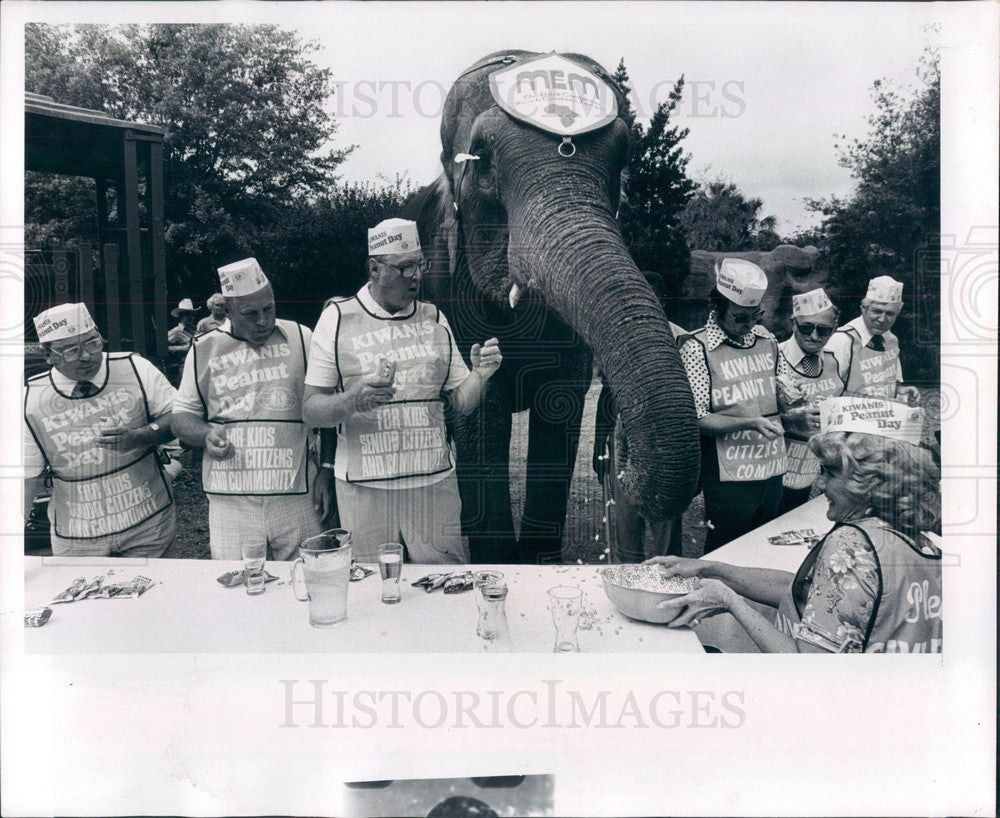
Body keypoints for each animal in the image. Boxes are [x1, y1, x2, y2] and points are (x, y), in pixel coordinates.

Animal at [402, 51, 700, 560]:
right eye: (482, 160)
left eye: (622, 163)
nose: (619, 463)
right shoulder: (450, 289)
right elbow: (481, 413)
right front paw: (500, 561)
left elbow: (561, 403)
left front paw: (538, 561)